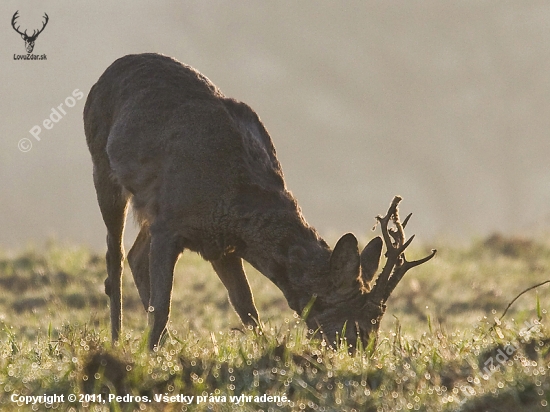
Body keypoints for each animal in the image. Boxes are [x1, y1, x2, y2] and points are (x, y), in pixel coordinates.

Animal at [84, 52, 438, 350]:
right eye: (360, 313)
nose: (361, 350)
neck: (234, 200)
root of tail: (106, 73)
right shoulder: (170, 223)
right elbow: (164, 306)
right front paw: (148, 355)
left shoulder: (219, 245)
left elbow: (247, 307)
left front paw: (268, 349)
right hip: (102, 166)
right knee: (115, 257)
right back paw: (116, 339)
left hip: (146, 205)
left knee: (134, 254)